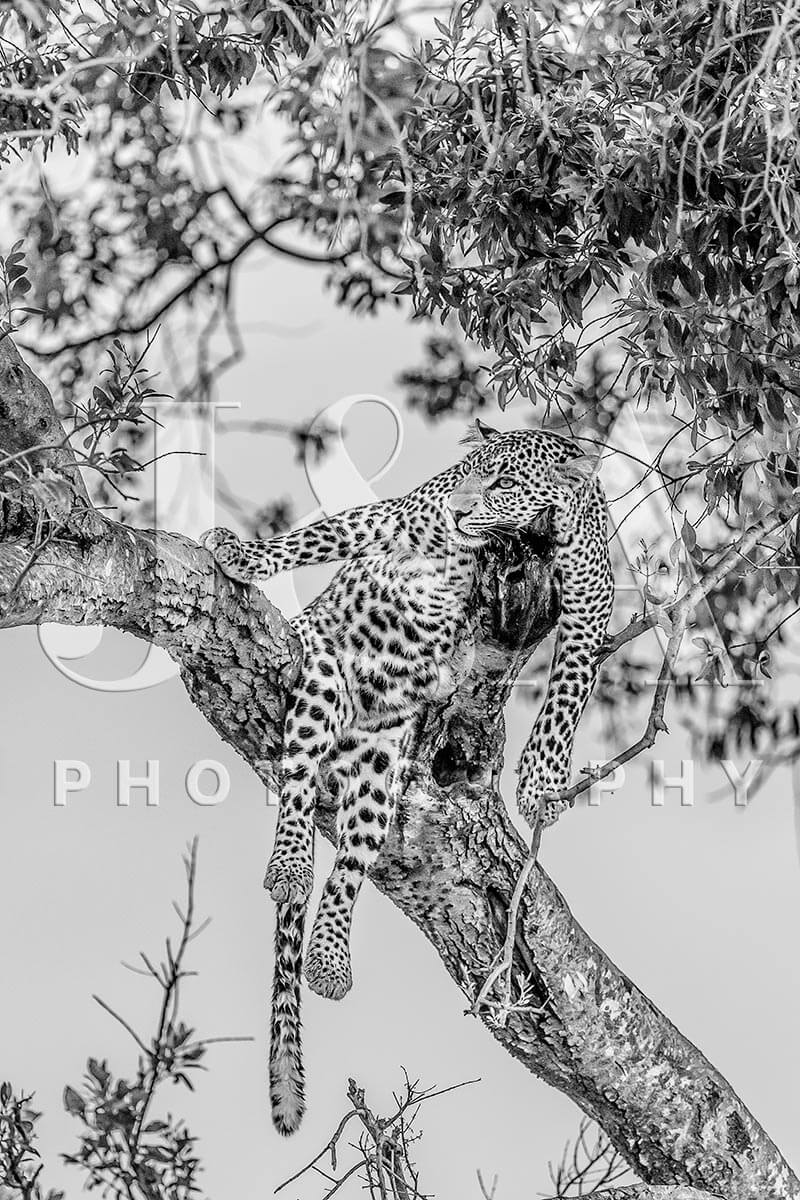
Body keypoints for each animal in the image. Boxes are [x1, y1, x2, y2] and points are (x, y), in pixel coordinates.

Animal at [201, 419, 614, 1135]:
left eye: (506, 480)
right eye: (468, 471)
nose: (459, 509)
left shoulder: (590, 610)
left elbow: (567, 695)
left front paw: (540, 782)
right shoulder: (398, 517)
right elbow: (324, 535)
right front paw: (243, 556)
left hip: (380, 762)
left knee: (349, 863)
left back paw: (329, 959)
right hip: (324, 678)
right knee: (298, 782)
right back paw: (289, 866)